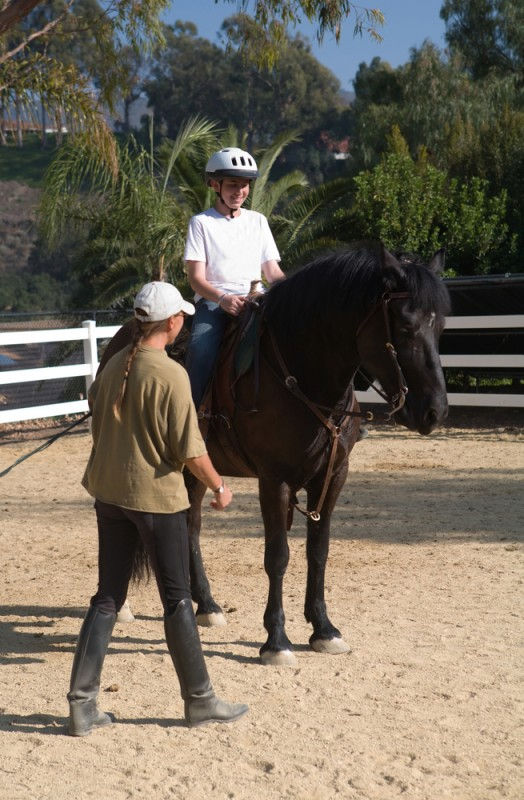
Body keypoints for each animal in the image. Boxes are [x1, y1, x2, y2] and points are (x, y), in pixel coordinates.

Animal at [99, 245, 450, 665]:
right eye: (406, 326)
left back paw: (207, 605)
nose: (434, 411)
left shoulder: (332, 476)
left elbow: (318, 551)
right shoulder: (274, 479)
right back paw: (123, 605)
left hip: (192, 470)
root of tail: (122, 339)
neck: (301, 375)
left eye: (440, 327)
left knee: (191, 527)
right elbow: (278, 556)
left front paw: (324, 629)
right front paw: (276, 640)